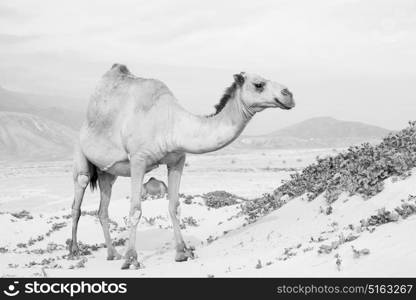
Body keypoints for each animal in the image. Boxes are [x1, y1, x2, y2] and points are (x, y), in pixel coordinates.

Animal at [70, 63, 294, 270]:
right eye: (259, 84)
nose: (289, 95)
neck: (172, 125)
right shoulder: (138, 159)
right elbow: (135, 211)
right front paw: (131, 259)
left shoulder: (177, 159)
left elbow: (174, 207)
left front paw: (182, 252)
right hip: (81, 153)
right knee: (78, 199)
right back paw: (75, 251)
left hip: (107, 172)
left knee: (102, 210)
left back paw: (112, 253)